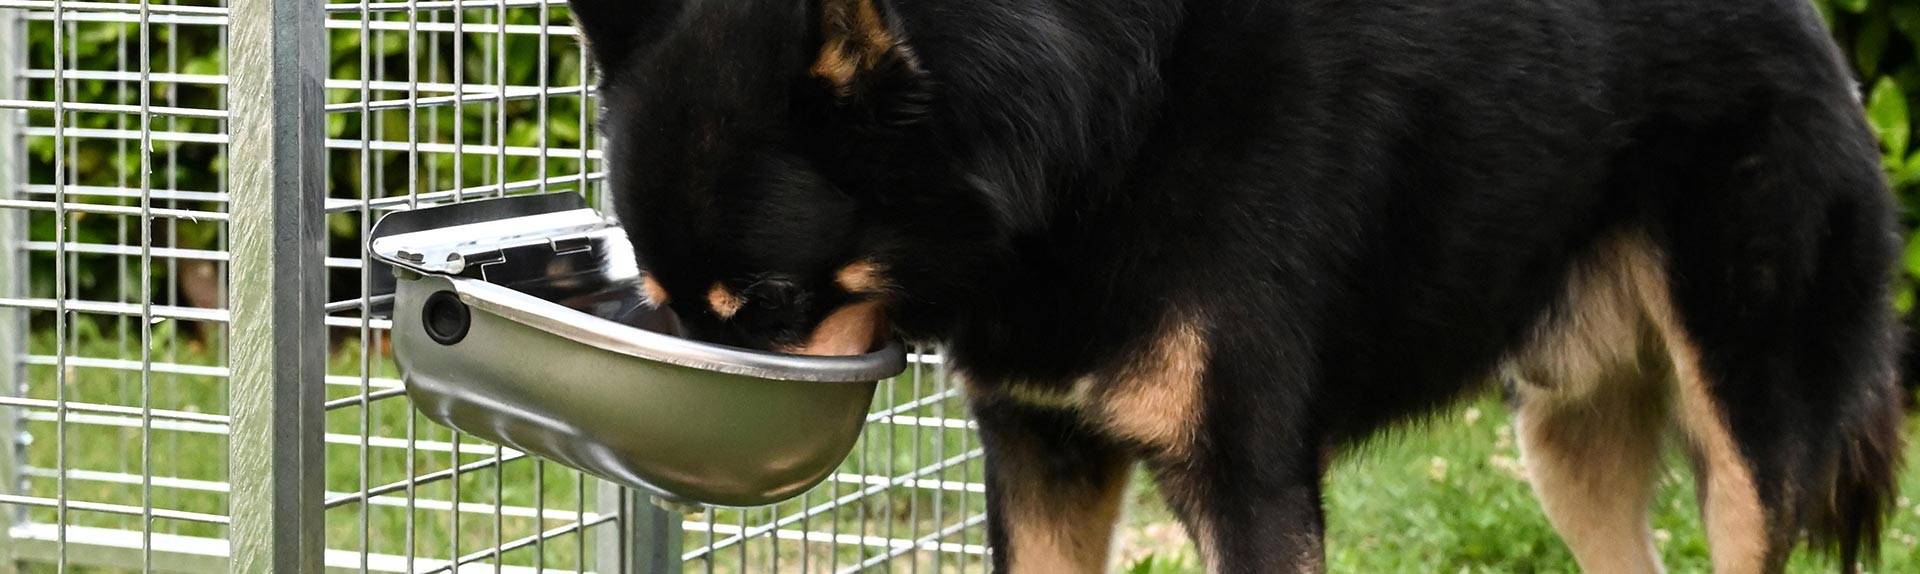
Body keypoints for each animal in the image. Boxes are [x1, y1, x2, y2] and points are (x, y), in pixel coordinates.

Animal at [564, 2, 1904, 572]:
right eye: (662, 296)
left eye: (768, 301)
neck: (1098, 136)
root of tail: (1814, 30)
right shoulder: (1042, 454)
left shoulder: (1250, 482)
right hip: (1566, 448)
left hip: (1746, 436)